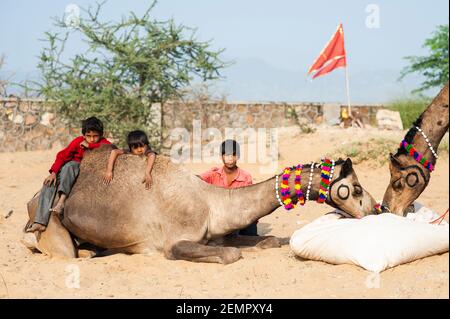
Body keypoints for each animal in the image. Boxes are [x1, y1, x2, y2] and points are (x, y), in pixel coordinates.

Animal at [22, 148, 378, 264]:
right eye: (356, 188)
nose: (376, 209)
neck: (211, 201)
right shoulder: (175, 241)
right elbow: (230, 255)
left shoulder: (217, 233)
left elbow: (264, 240)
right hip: (52, 225)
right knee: (64, 251)